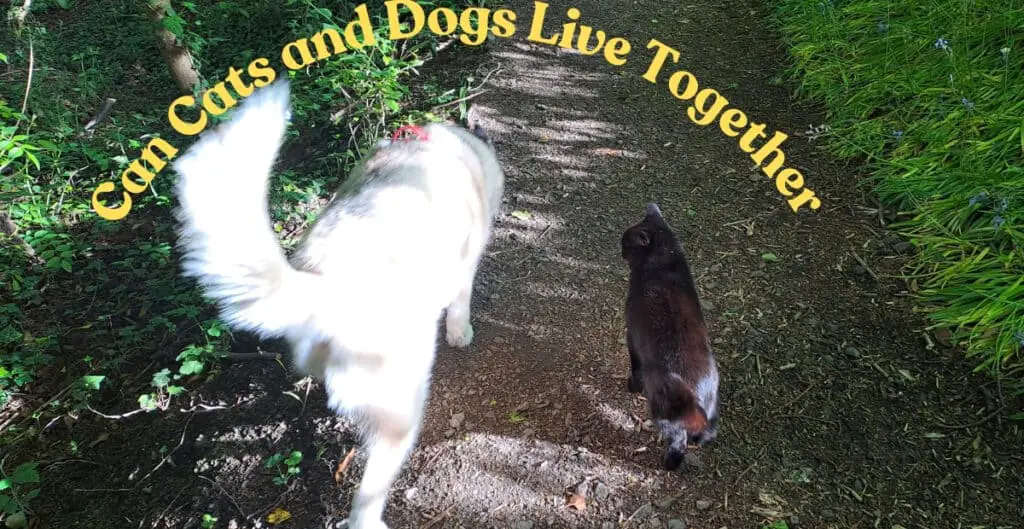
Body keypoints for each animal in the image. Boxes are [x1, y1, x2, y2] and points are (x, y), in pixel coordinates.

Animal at [174, 79, 505, 527]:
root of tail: (324, 280)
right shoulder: (465, 266)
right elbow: (460, 305)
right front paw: (460, 332)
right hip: (400, 410)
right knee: (366, 497)